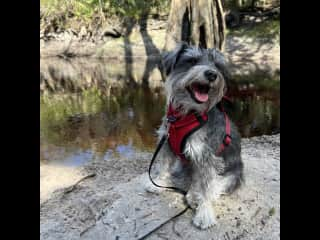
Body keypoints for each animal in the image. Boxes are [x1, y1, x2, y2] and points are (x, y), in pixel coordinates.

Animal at [145, 42, 242, 229]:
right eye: (192, 61)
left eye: (217, 65)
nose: (212, 74)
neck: (186, 115)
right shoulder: (166, 144)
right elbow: (163, 166)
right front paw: (158, 183)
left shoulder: (206, 157)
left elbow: (206, 187)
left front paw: (204, 213)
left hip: (231, 176)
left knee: (211, 185)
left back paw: (194, 197)